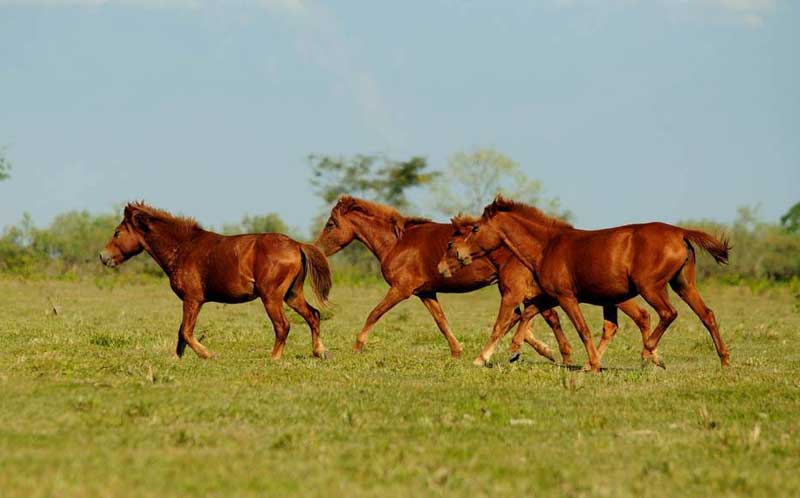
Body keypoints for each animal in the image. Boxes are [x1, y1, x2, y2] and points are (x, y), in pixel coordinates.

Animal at [100, 200, 332, 360]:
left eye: (117, 233)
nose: (103, 256)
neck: (184, 248)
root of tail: (297, 245)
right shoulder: (191, 301)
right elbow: (181, 332)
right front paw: (176, 358)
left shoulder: (193, 299)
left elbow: (185, 331)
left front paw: (208, 354)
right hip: (292, 294)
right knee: (313, 315)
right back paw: (319, 352)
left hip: (271, 297)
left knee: (283, 325)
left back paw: (274, 357)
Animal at [444, 196, 732, 372]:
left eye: (475, 229)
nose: (459, 255)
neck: (547, 246)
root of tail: (680, 232)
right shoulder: (548, 296)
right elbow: (526, 316)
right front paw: (515, 351)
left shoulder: (564, 296)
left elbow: (580, 329)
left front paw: (591, 364)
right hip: (683, 286)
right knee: (707, 315)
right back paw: (724, 360)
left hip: (650, 288)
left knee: (666, 314)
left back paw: (649, 352)